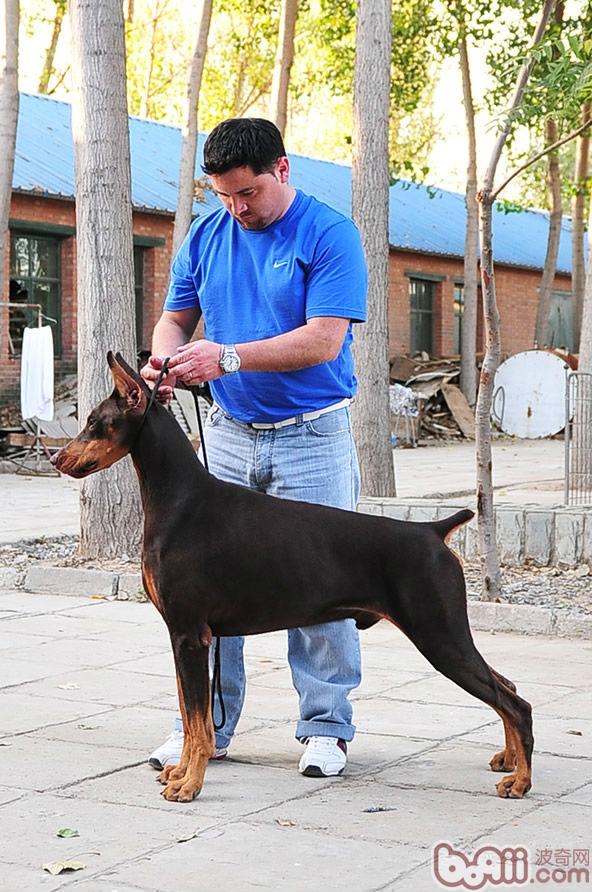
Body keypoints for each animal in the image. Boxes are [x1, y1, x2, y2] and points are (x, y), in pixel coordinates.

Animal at [53, 354, 536, 800]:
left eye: (94, 423)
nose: (56, 457)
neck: (178, 498)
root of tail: (433, 530)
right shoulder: (184, 636)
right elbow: (192, 718)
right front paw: (179, 773)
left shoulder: (189, 634)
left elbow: (198, 723)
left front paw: (189, 785)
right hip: (446, 634)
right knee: (508, 687)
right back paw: (508, 759)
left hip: (439, 634)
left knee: (516, 702)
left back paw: (521, 780)